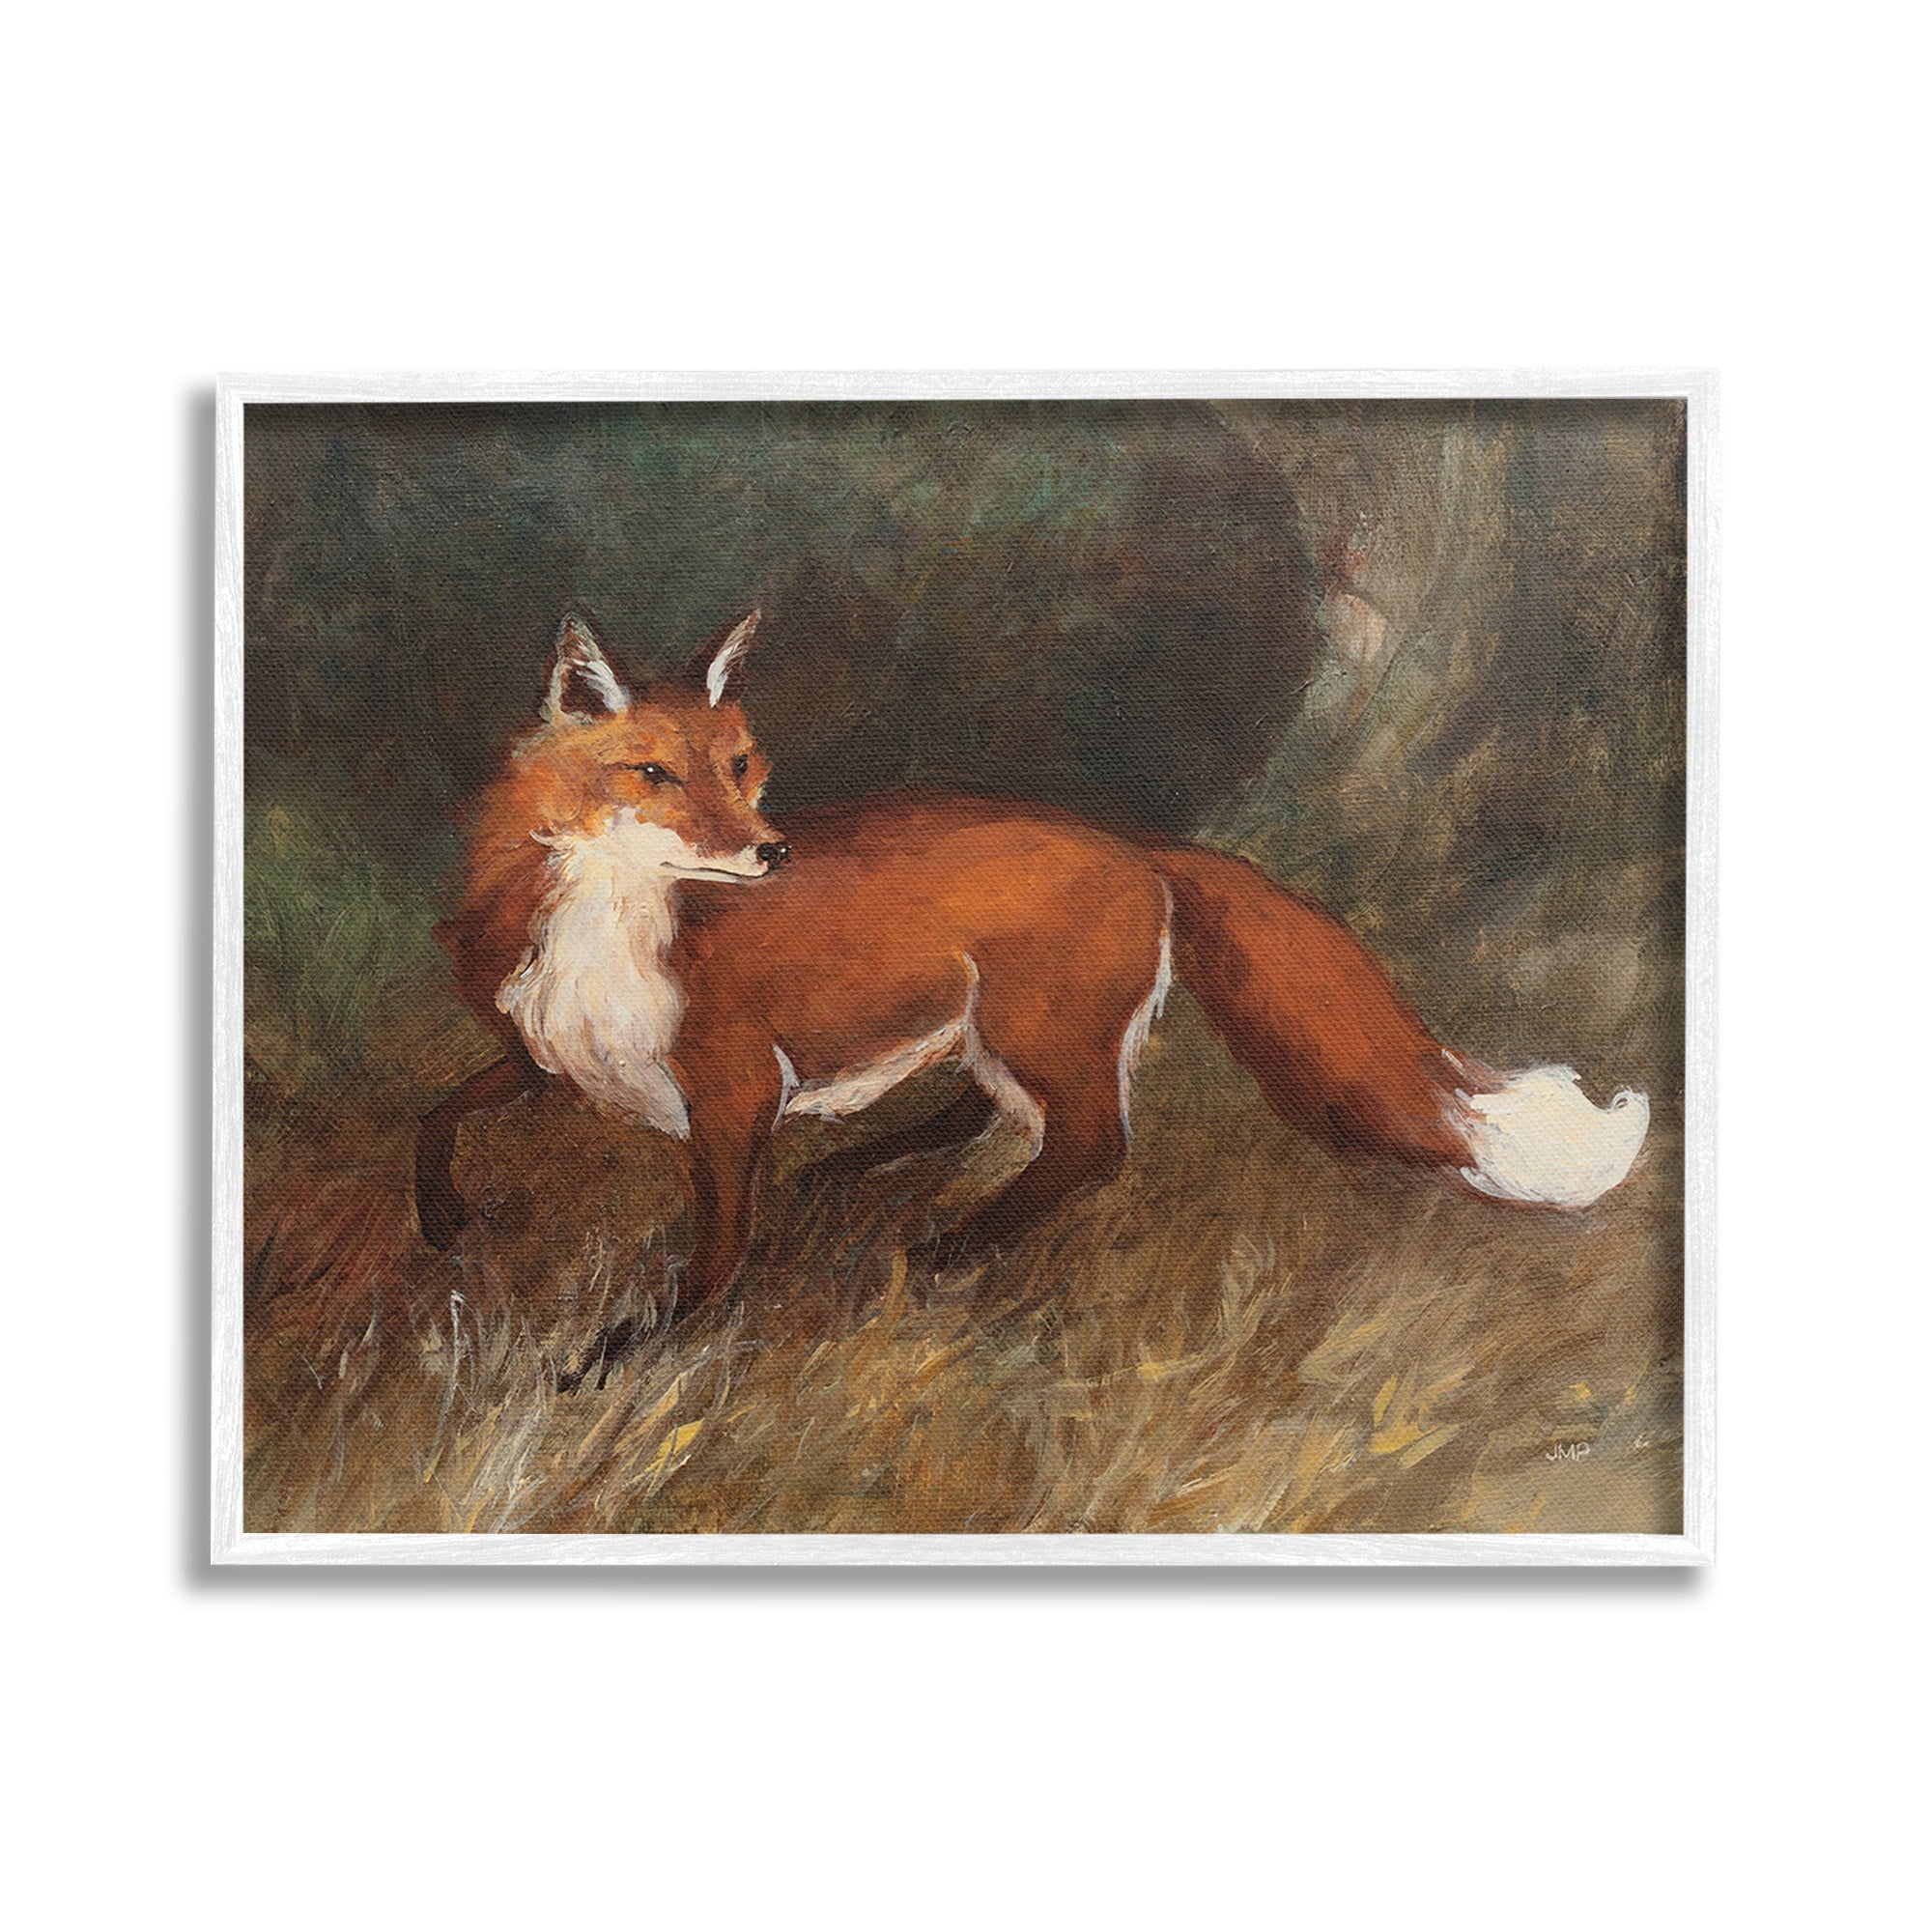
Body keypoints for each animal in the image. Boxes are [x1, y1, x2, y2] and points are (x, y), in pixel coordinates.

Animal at [417, 608, 1651, 1356]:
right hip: (999, 1028)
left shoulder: (729, 1091)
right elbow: (439, 1110)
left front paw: (636, 1349)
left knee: (1088, 1145)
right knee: (998, 1119)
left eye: (738, 766)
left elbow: (716, 1248)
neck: (613, 930)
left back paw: (941, 1249)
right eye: (654, 774)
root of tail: (1138, 843)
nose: (770, 851)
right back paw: (863, 1175)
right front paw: (439, 1219)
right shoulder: (549, 1054)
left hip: (1032, 1027)